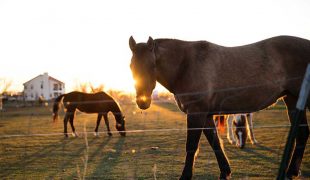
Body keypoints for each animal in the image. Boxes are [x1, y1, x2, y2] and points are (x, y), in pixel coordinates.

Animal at [128, 35, 310, 179]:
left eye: (153, 65)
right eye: (131, 66)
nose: (142, 102)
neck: (186, 65)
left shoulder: (196, 113)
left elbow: (191, 146)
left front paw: (185, 176)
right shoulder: (207, 115)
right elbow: (215, 141)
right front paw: (225, 171)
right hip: (292, 100)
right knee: (302, 134)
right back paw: (291, 171)